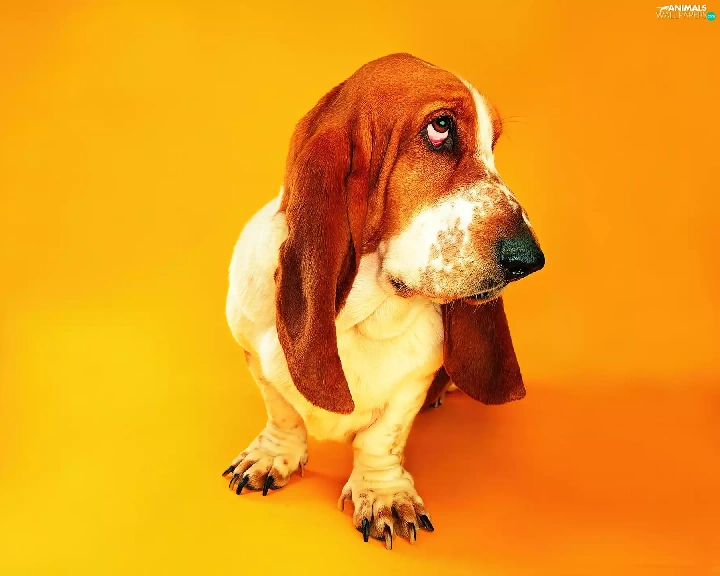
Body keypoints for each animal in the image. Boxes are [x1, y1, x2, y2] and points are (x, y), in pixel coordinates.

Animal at [222, 53, 545, 549]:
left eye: (492, 143)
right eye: (440, 127)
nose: (530, 259)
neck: (361, 317)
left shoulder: (412, 384)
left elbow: (381, 438)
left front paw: (384, 497)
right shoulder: (251, 352)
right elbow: (283, 412)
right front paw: (271, 457)